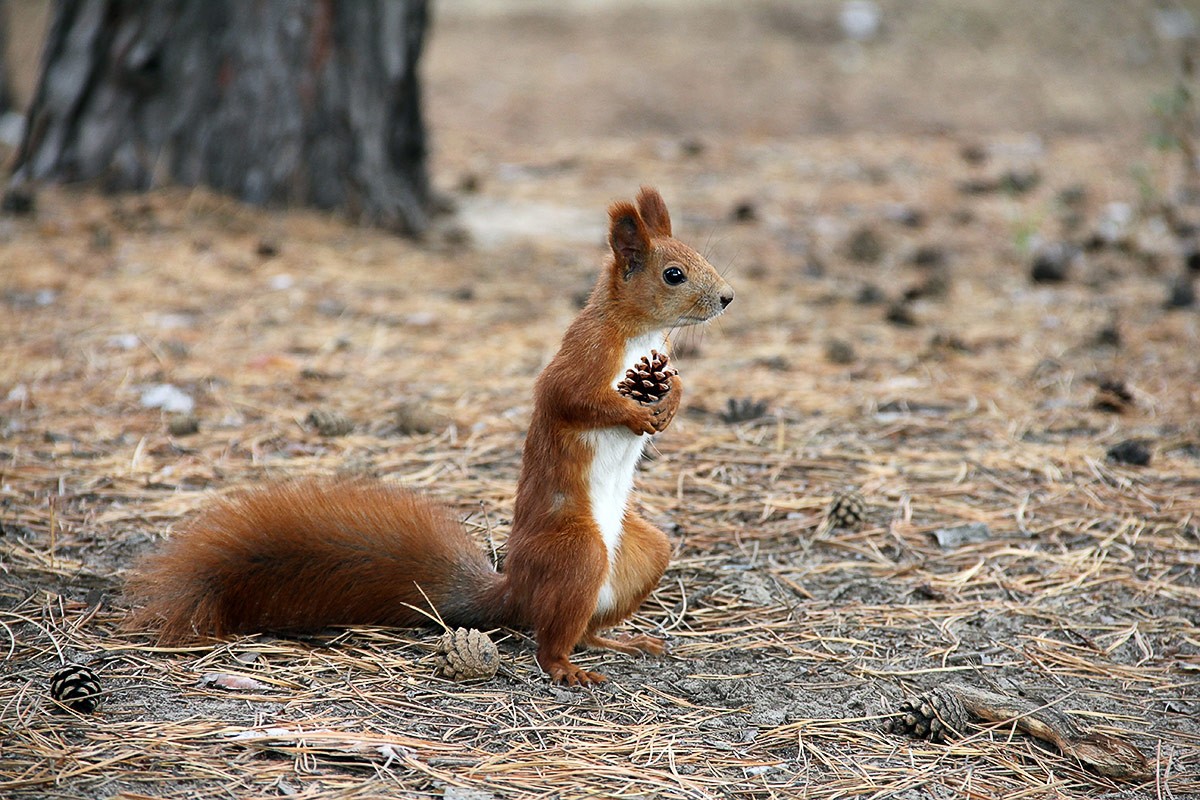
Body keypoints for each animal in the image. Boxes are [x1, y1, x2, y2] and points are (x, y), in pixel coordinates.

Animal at [126, 188, 734, 690]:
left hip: (643, 553)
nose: (727, 298)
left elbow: (676, 383)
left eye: (700, 259)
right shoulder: (580, 358)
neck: (641, 336)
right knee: (550, 639)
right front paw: (635, 412)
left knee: (584, 625)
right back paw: (567, 669)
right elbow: (574, 399)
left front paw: (669, 402)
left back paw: (623, 640)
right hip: (577, 553)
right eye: (674, 274)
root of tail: (515, 588)